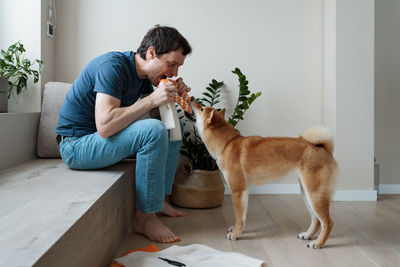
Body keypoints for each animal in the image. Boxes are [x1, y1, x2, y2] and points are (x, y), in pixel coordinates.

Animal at [190, 101, 338, 249]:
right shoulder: (244, 191)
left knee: (328, 222)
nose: (191, 99)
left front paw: (235, 234)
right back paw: (308, 235)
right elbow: (242, 217)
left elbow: (238, 216)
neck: (227, 144)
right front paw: (237, 229)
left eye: (202, 108)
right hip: (307, 193)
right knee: (316, 220)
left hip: (315, 195)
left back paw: (318, 243)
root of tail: (322, 148)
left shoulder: (237, 190)